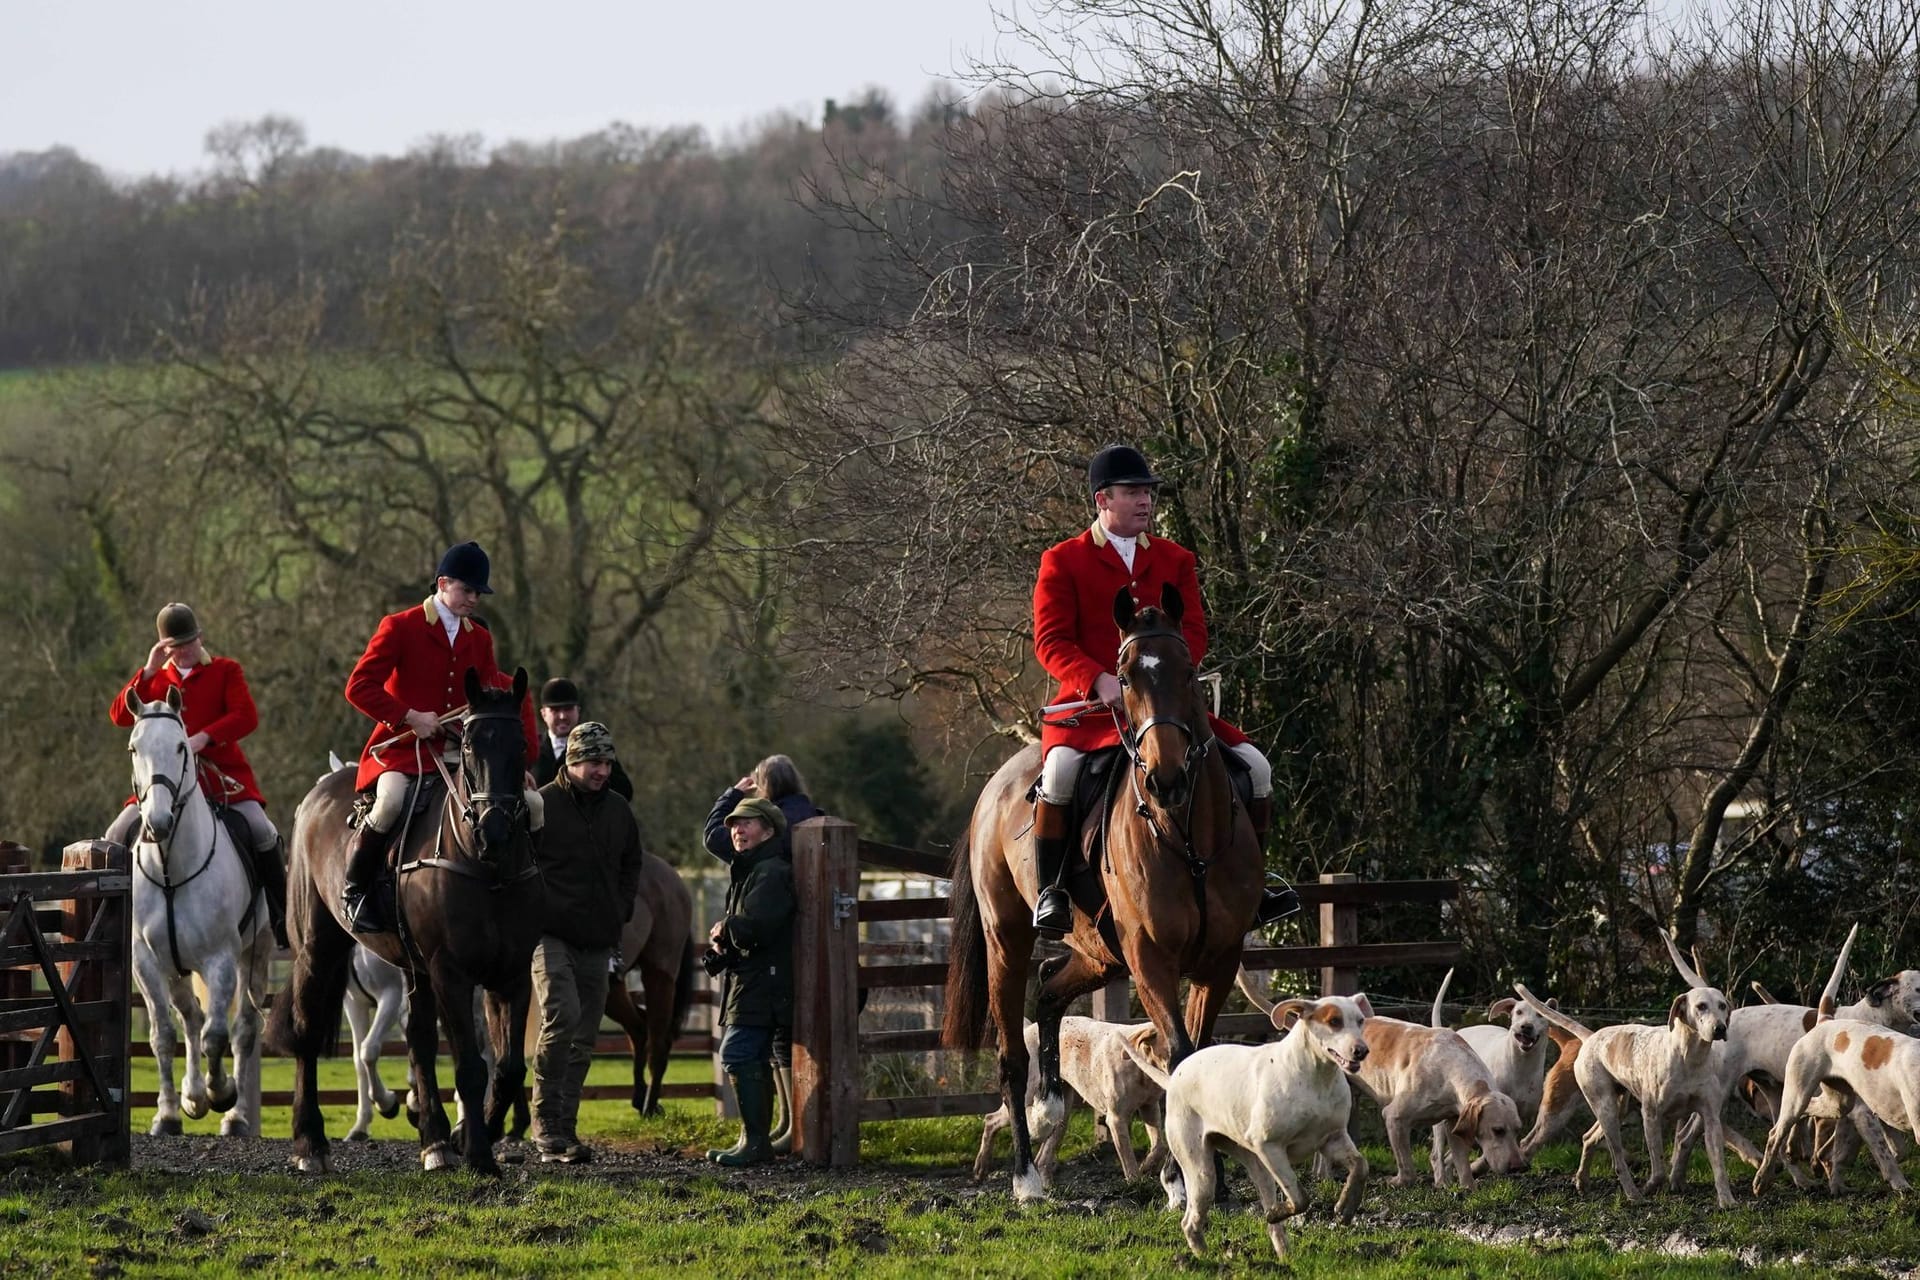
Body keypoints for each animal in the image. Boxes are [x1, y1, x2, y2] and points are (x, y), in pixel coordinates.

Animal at [121, 687, 272, 1136]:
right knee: (189, 1017)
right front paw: (170, 1113)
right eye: (134, 748)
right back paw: (191, 1096)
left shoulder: (220, 959)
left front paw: (221, 1092)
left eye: (181, 747)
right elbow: (163, 1035)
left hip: (254, 954)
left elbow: (216, 1035)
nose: (158, 822)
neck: (172, 868)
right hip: (176, 968)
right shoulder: (146, 962)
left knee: (243, 1029)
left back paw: (235, 1116)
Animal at [268, 667, 541, 1174]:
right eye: (468, 745)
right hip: (319, 949)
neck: (487, 867)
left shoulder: (510, 975)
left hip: (414, 968)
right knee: (309, 1033)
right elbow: (470, 1066)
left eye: (520, 745)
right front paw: (478, 1154)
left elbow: (508, 1067)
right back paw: (310, 1143)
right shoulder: (451, 972)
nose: (494, 830)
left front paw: (470, 1135)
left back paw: (434, 1141)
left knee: (418, 1042)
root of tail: (321, 791)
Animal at [940, 587, 1259, 1205]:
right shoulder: (1151, 960)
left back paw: (1051, 1107)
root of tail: (994, 788)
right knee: (1012, 1054)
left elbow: (1202, 1053)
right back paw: (1026, 1176)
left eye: (1188, 671)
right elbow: (1180, 1055)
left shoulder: (1219, 957)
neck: (1187, 836)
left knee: (1048, 992)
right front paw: (1180, 1180)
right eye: (1125, 677)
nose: (1166, 778)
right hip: (1009, 941)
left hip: (1099, 953)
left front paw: (1209, 1178)